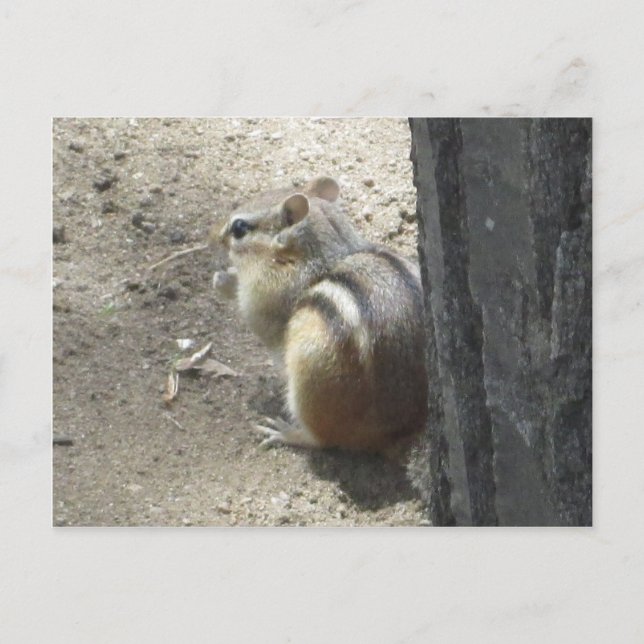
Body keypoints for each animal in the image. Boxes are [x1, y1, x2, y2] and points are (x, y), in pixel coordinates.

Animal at [213, 176, 427, 454]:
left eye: (239, 228)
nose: (212, 234)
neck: (320, 255)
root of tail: (396, 435)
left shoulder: (264, 298)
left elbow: (251, 314)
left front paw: (225, 281)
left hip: (310, 378)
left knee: (324, 439)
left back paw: (286, 432)